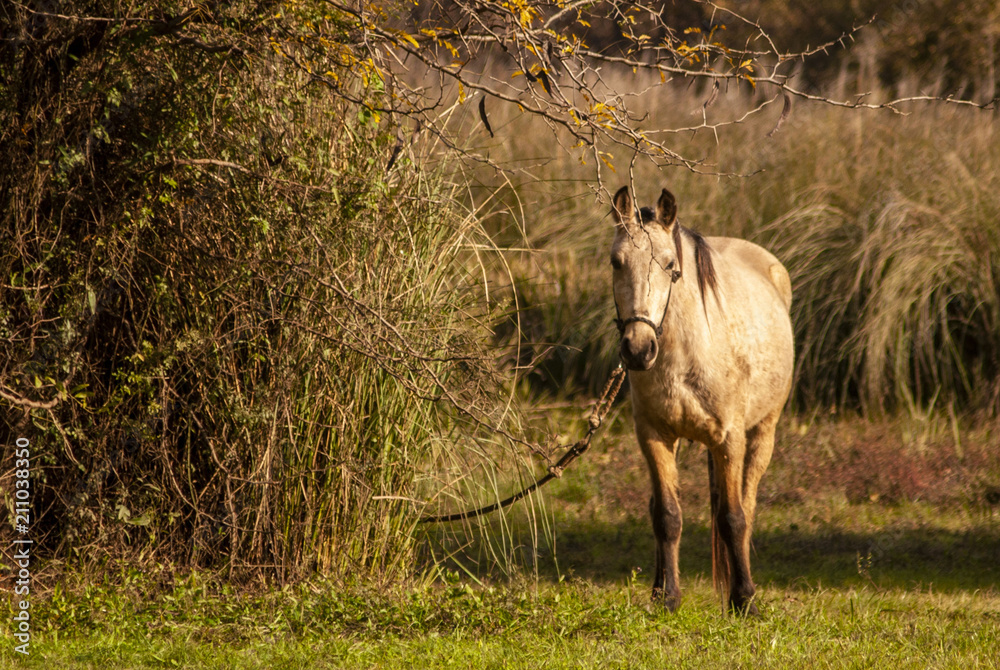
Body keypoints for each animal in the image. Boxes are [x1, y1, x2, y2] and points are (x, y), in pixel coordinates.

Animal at [608, 185, 794, 614]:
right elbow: (667, 516)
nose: (638, 349)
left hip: (763, 434)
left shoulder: (730, 440)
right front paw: (667, 597)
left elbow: (733, 518)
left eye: (669, 264)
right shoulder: (654, 437)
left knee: (748, 505)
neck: (687, 355)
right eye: (616, 262)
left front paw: (744, 599)